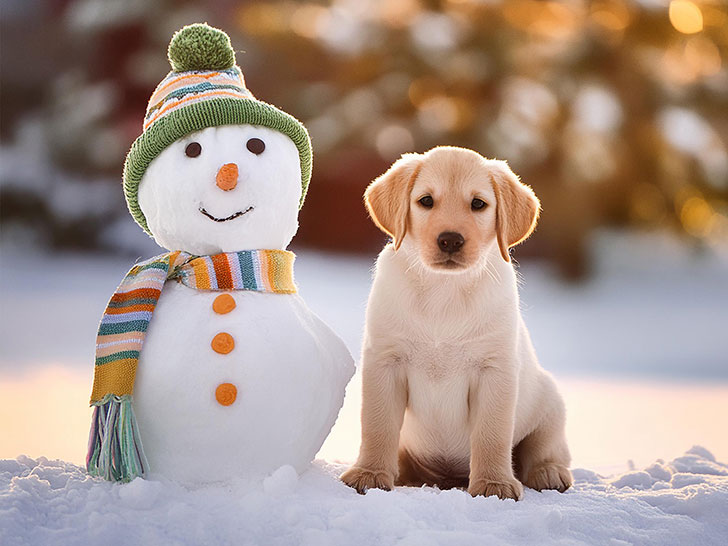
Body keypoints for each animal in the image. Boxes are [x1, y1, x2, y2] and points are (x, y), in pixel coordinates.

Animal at [342, 147, 576, 500]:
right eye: (426, 201)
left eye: (478, 204)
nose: (450, 240)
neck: (444, 290)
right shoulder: (385, 362)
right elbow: (377, 425)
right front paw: (369, 473)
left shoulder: (495, 370)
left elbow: (492, 434)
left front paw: (493, 483)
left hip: (550, 405)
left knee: (545, 448)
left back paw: (548, 472)